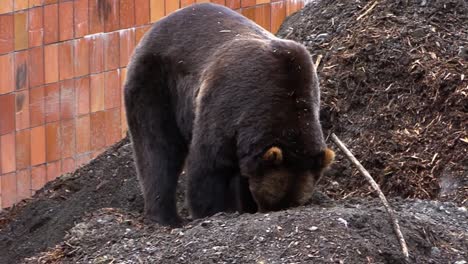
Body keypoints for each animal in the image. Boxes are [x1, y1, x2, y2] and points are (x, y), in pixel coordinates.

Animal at [122, 2, 334, 227]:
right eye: (269, 199)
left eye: (293, 203)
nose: (267, 211)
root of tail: (153, 28)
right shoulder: (227, 105)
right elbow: (209, 166)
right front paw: (214, 211)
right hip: (156, 83)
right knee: (157, 147)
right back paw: (166, 217)